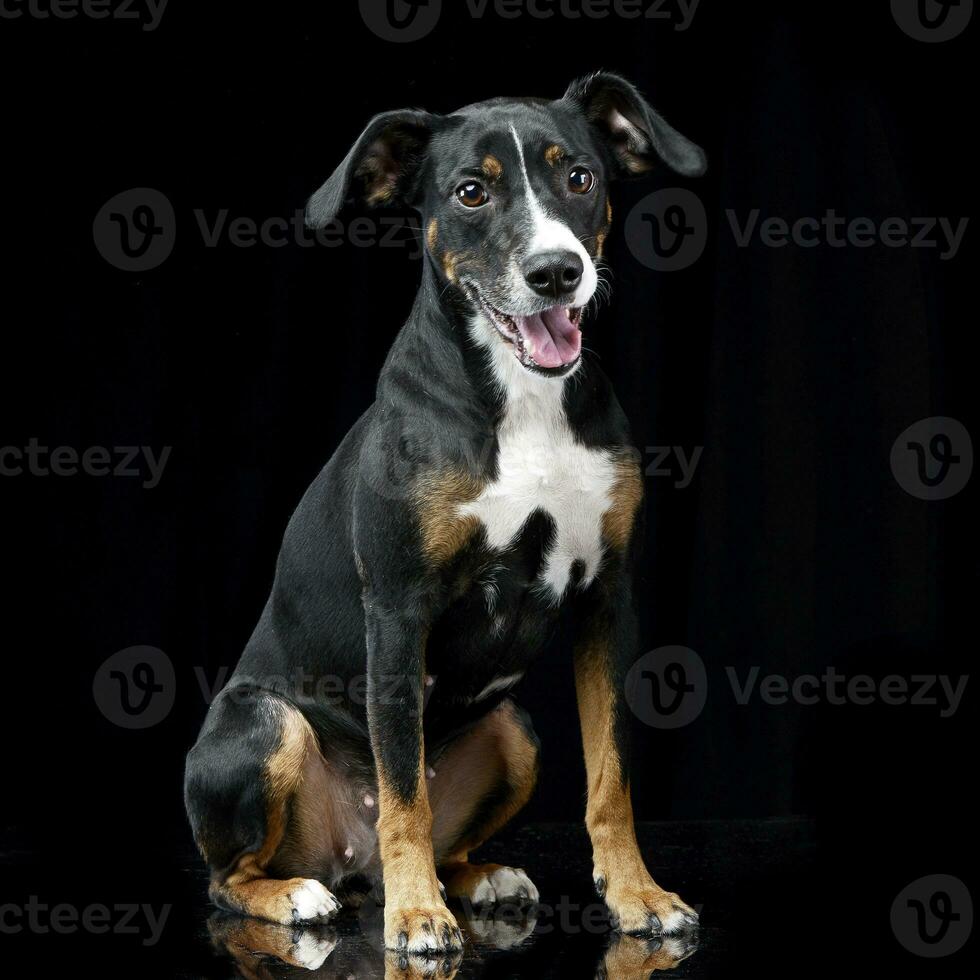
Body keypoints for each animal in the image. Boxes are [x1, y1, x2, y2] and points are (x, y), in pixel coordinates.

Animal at [184, 71, 704, 956]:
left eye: (580, 178)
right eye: (470, 192)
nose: (557, 272)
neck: (523, 402)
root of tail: (346, 862)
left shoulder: (609, 596)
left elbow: (611, 778)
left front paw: (637, 894)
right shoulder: (399, 609)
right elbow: (403, 792)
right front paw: (416, 913)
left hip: (516, 730)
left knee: (450, 835)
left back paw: (477, 879)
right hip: (262, 725)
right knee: (227, 881)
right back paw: (302, 895)